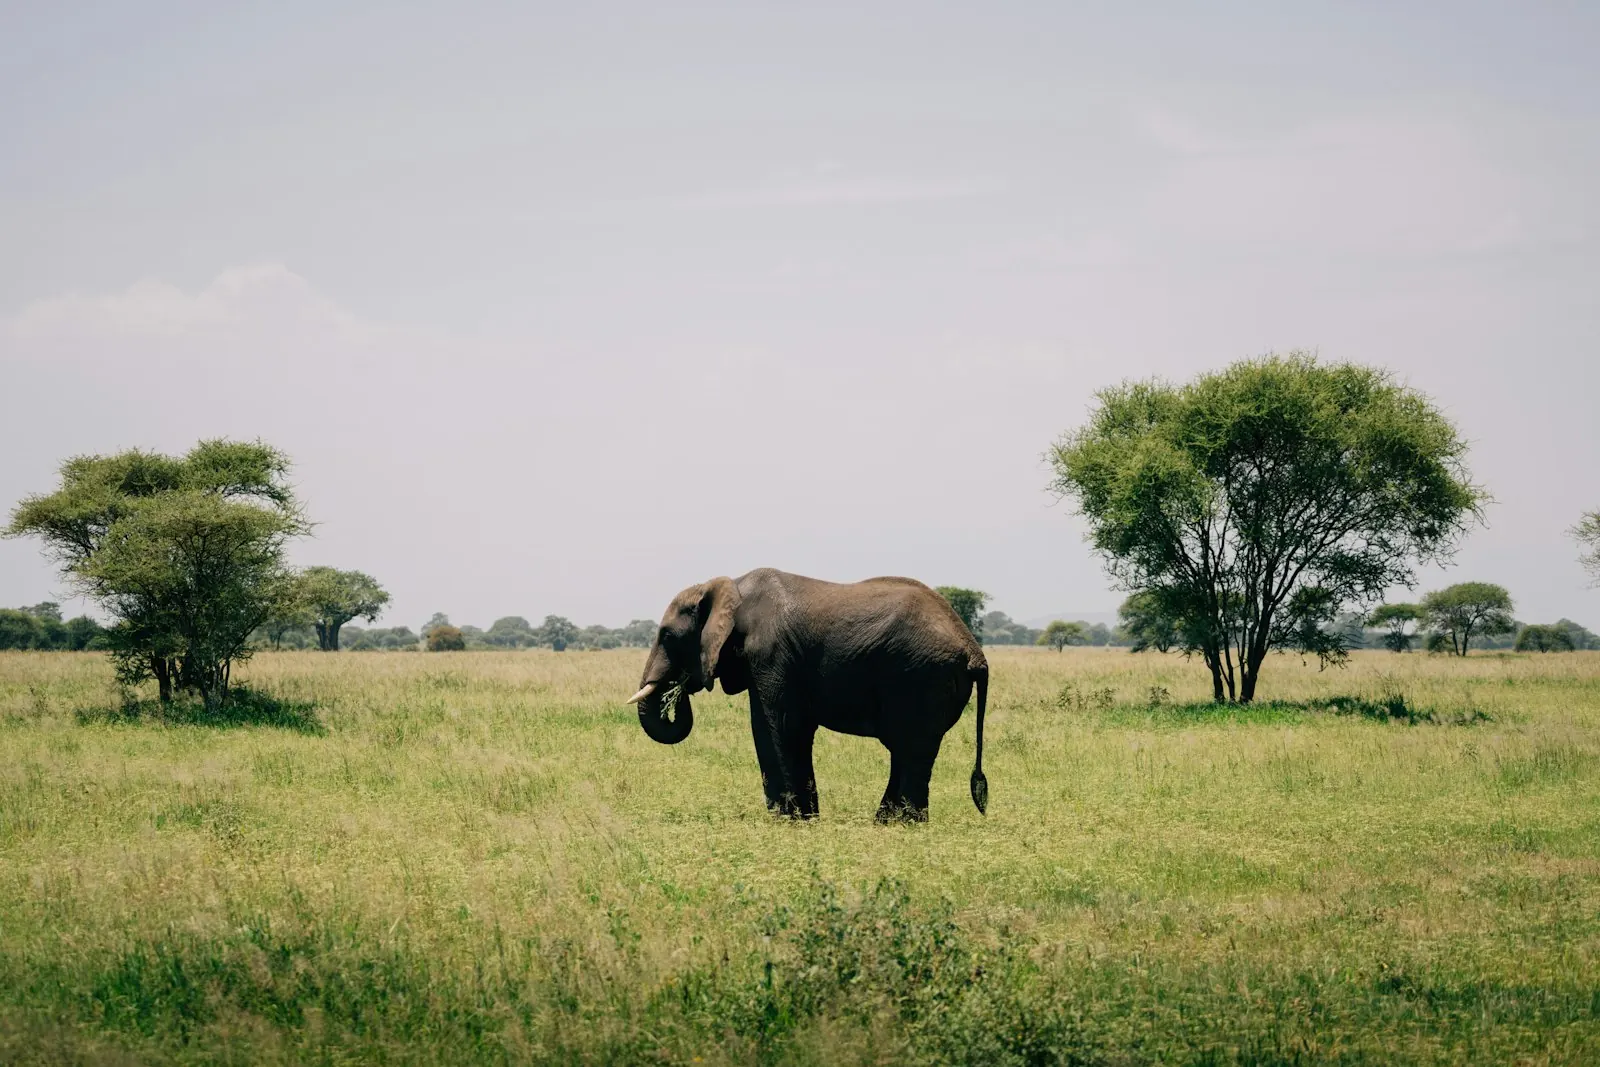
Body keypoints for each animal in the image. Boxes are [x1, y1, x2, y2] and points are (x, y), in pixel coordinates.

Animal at [626, 568, 989, 822]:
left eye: (667, 636)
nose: (679, 687)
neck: (729, 585)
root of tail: (975, 651)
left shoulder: (771, 654)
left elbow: (779, 726)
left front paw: (793, 822)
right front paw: (799, 819)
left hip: (922, 679)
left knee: (911, 751)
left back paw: (904, 825)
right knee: (907, 751)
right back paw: (886, 824)